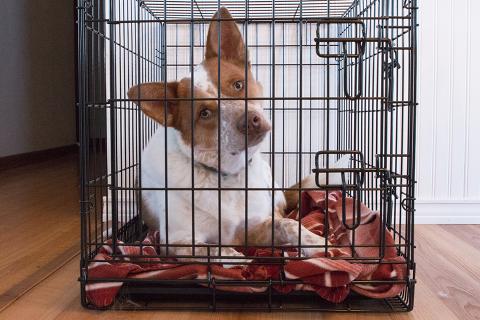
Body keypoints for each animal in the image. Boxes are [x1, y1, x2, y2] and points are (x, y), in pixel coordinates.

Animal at [125, 7, 340, 262]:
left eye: (238, 85)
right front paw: (239, 259)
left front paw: (316, 242)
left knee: (284, 212)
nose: (251, 121)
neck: (228, 176)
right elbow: (214, 248)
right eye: (204, 113)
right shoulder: (176, 241)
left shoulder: (256, 224)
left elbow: (289, 223)